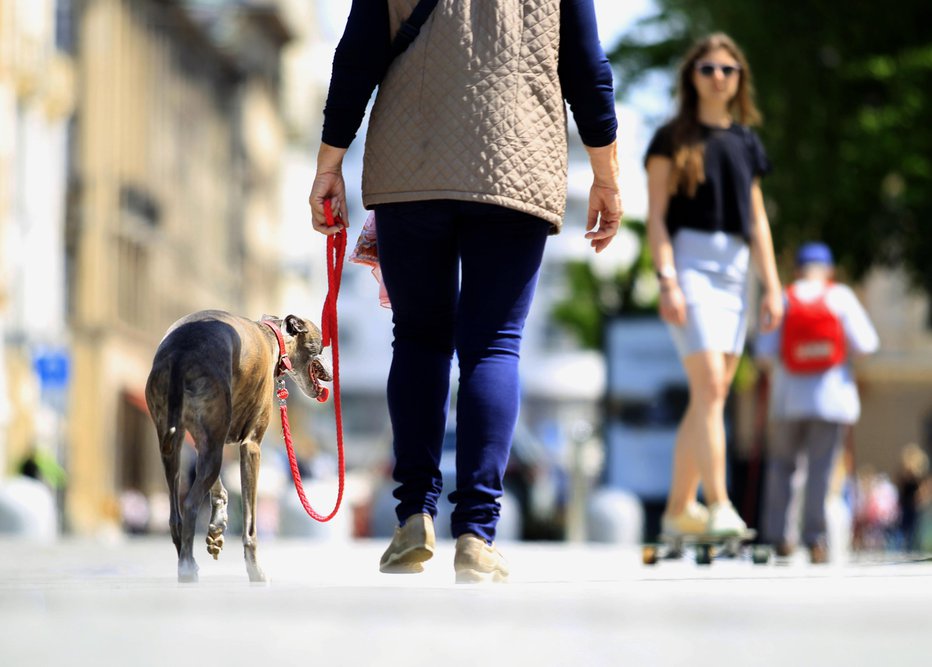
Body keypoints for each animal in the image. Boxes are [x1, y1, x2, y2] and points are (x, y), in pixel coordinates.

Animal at [144, 310, 334, 580]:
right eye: (321, 344)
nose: (333, 371)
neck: (273, 336)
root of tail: (180, 352)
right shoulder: (251, 445)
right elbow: (250, 523)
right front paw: (256, 571)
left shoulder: (209, 440)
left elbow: (218, 487)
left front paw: (217, 525)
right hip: (209, 441)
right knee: (189, 504)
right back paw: (188, 566)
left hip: (173, 443)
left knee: (175, 515)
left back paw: (186, 559)